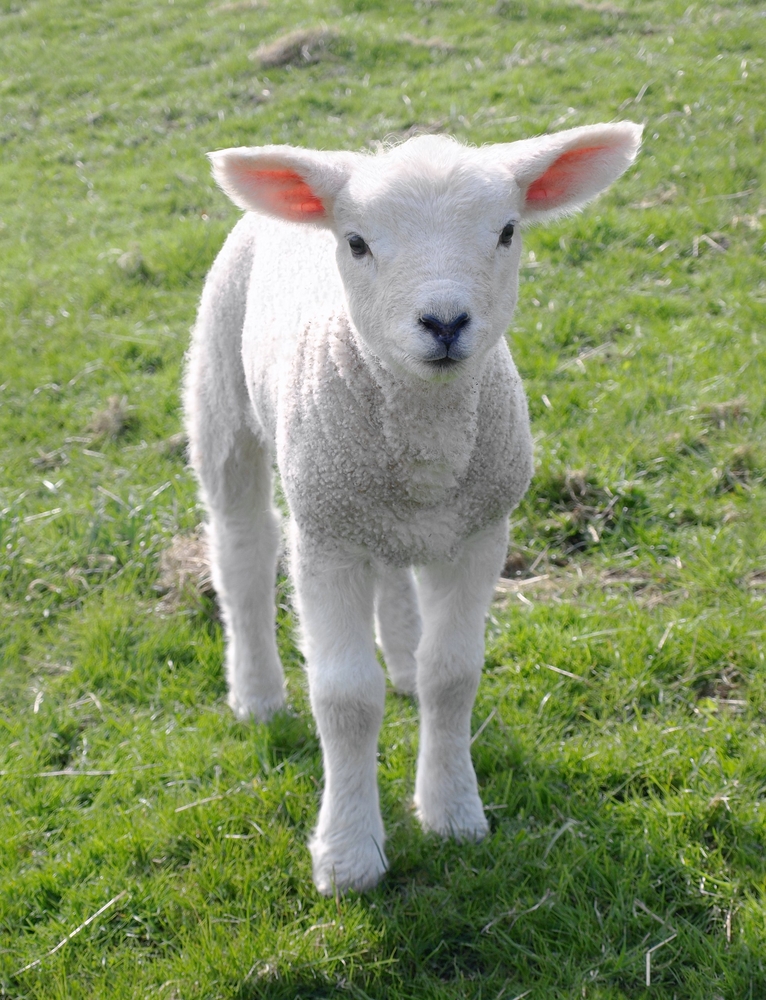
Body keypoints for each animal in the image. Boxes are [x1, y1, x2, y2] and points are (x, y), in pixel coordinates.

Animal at [186, 121, 640, 896]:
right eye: (357, 243)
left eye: (508, 231)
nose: (445, 321)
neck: (427, 437)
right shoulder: (327, 538)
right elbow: (344, 698)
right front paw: (348, 857)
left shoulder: (482, 530)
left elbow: (452, 675)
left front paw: (453, 812)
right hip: (223, 395)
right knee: (243, 550)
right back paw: (257, 694)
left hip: (381, 506)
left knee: (394, 574)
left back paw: (399, 662)